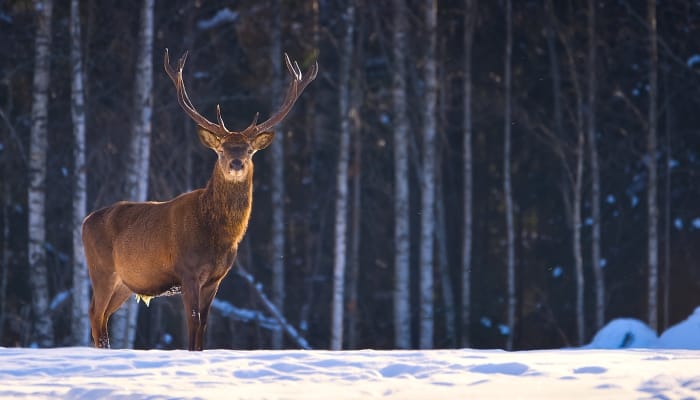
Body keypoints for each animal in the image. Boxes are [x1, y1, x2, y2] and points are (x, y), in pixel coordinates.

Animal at [82, 49, 317, 351]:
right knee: (94, 314)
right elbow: (193, 322)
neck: (218, 234)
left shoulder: (216, 279)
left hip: (125, 282)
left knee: (102, 317)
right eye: (221, 149)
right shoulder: (188, 271)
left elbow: (203, 326)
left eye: (249, 150)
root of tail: (85, 221)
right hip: (101, 270)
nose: (236, 163)